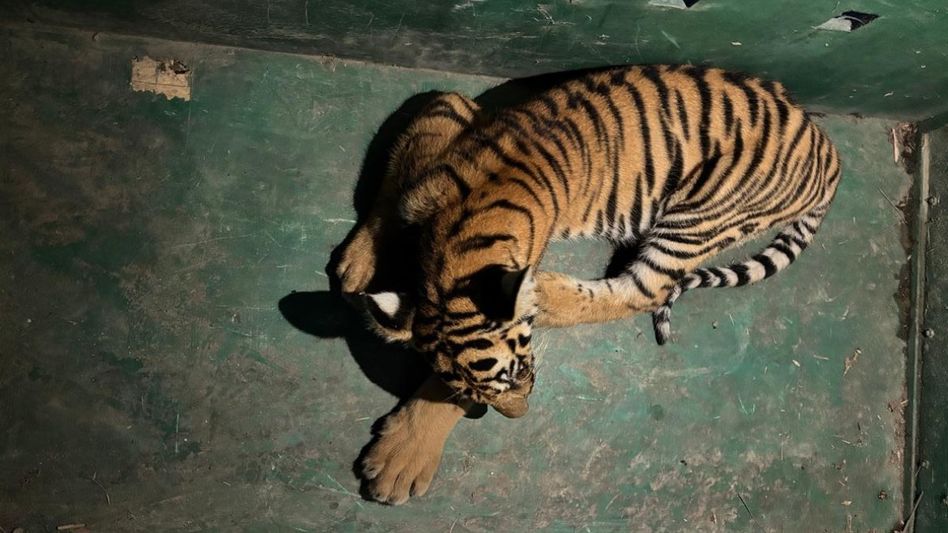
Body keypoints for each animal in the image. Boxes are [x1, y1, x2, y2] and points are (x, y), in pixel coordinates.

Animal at [332, 64, 841, 504]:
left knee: (646, 289)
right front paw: (357, 266)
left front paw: (401, 457)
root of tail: (828, 151)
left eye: (519, 374)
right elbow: (390, 189)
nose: (519, 416)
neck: (451, 236)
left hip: (702, 214)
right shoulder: (447, 109)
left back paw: (547, 292)